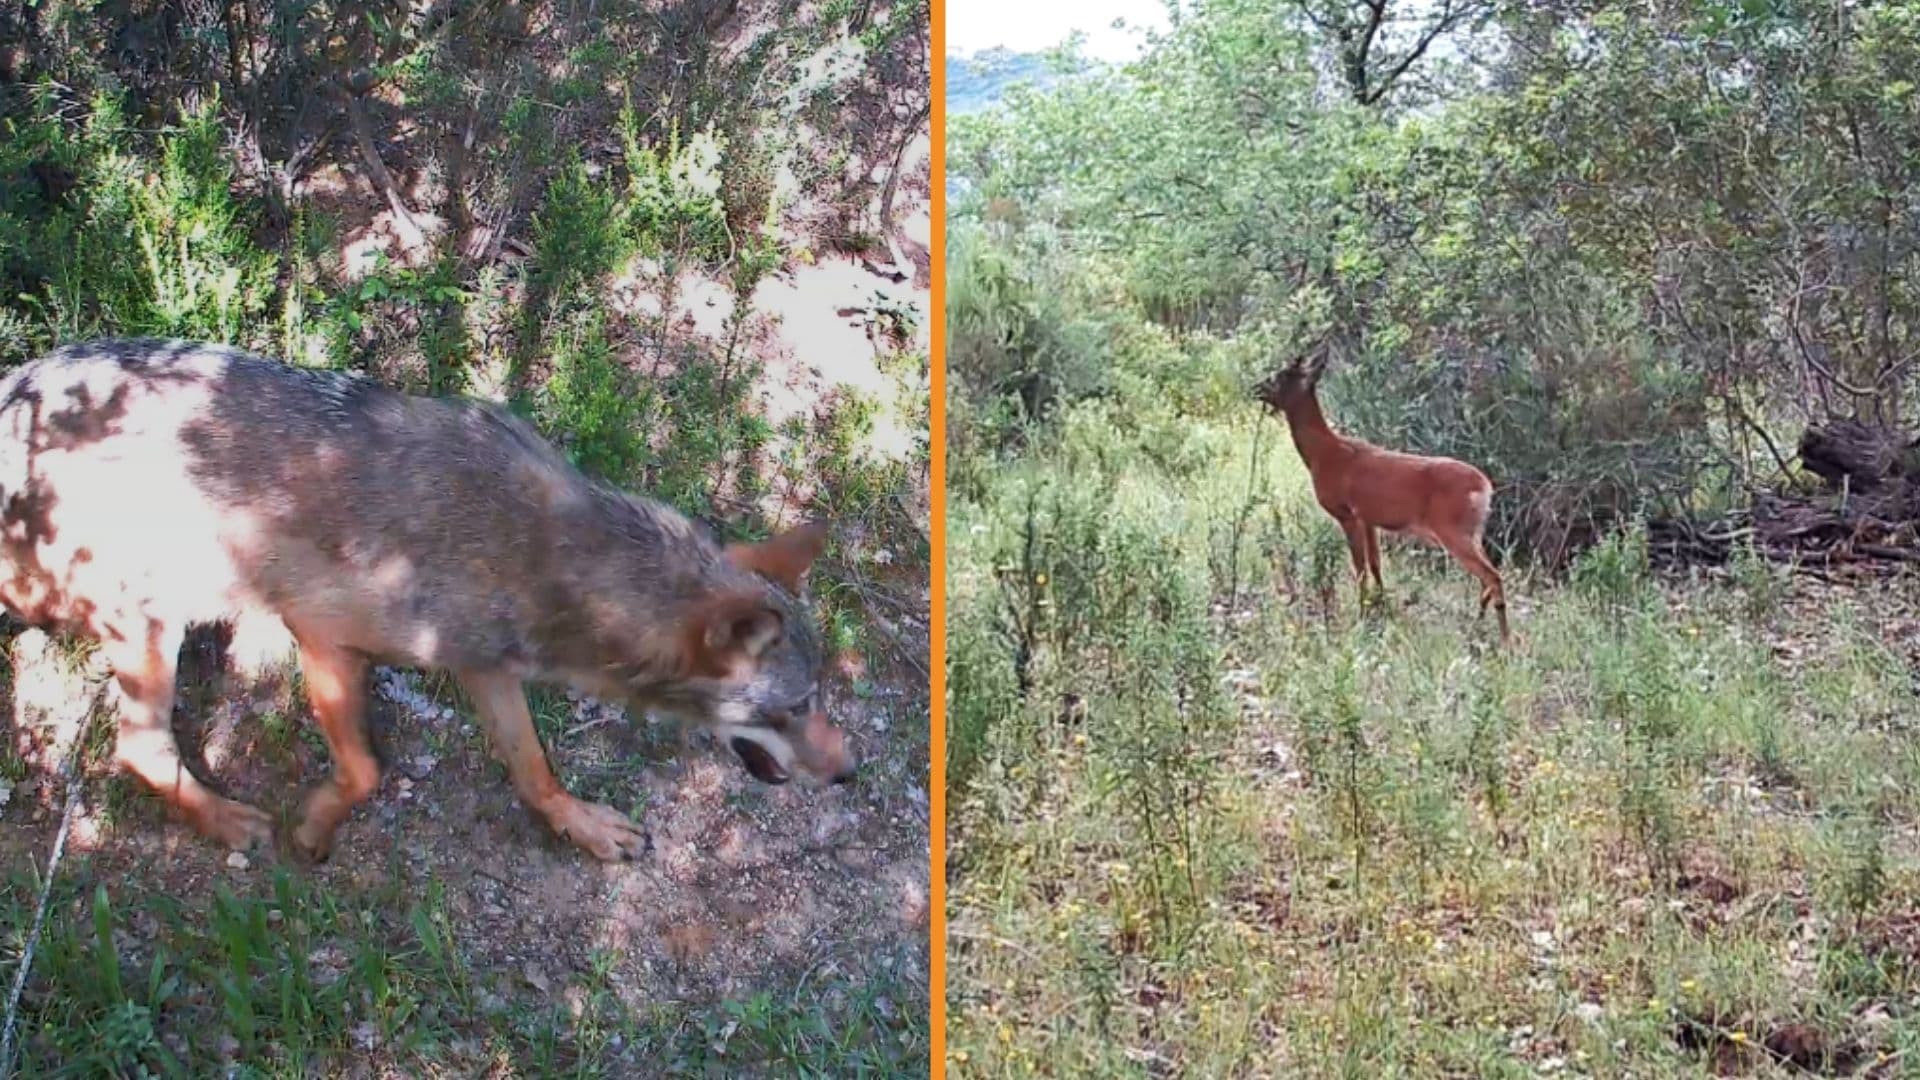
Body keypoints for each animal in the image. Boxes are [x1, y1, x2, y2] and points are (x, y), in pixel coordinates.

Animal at [0, 338, 853, 861]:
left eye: (819, 698)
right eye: (792, 707)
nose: (850, 773)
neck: (543, 557)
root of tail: (17, 390)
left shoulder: (487, 668)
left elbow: (533, 768)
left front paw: (580, 826)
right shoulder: (321, 634)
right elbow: (367, 771)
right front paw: (313, 825)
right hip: (151, 623)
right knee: (139, 748)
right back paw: (231, 821)